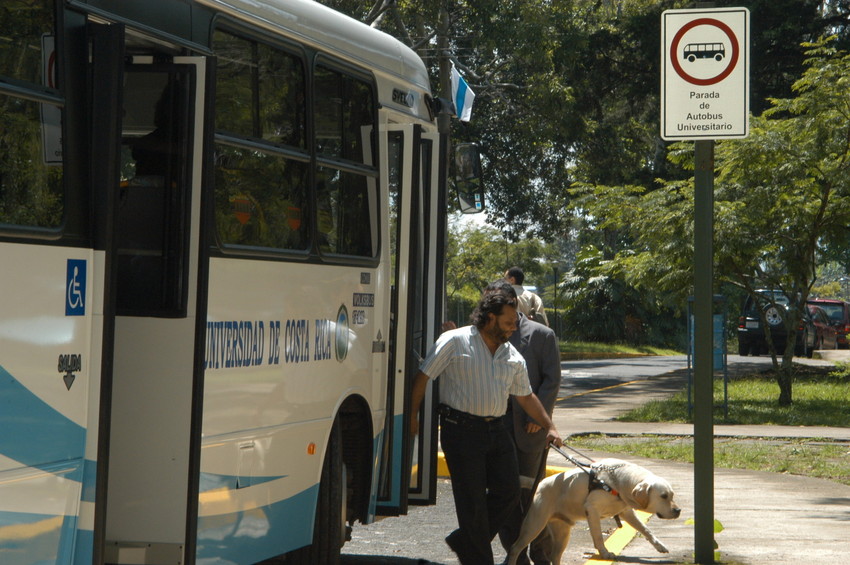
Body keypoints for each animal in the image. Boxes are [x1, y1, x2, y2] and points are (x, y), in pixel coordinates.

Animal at [506, 456, 680, 560]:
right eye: (664, 496)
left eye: (672, 495)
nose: (678, 511)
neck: (617, 483)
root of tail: (540, 482)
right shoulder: (593, 510)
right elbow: (597, 536)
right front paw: (604, 553)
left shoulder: (626, 512)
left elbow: (645, 529)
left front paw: (659, 545)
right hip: (533, 526)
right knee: (514, 548)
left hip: (562, 534)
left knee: (555, 556)